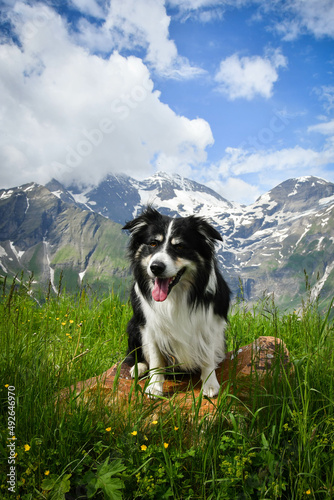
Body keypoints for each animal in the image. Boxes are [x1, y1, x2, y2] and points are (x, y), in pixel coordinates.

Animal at [122, 205, 230, 396]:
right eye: (153, 243)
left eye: (179, 246)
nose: (156, 267)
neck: (175, 295)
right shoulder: (150, 325)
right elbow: (156, 359)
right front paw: (154, 387)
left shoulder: (210, 323)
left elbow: (208, 355)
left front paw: (210, 384)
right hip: (134, 324)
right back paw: (138, 367)